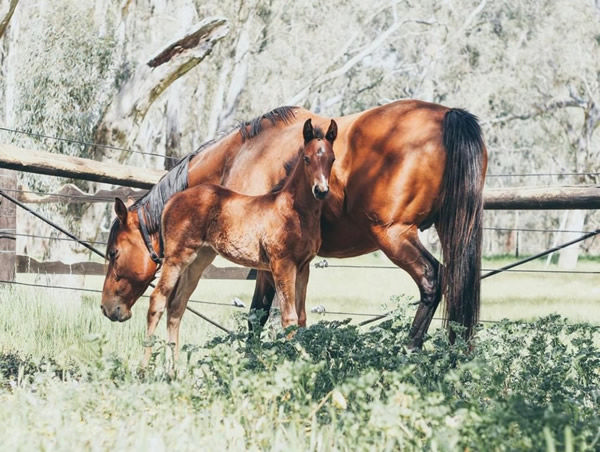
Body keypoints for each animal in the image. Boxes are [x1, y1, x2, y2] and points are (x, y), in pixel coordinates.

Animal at [142, 119, 336, 364]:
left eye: (332, 159)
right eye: (307, 158)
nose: (321, 191)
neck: (294, 211)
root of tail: (171, 201)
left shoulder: (303, 267)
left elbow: (301, 318)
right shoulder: (282, 264)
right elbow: (289, 318)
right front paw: (298, 363)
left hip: (198, 259)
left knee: (176, 305)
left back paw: (175, 368)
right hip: (176, 257)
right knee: (157, 299)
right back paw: (144, 367)